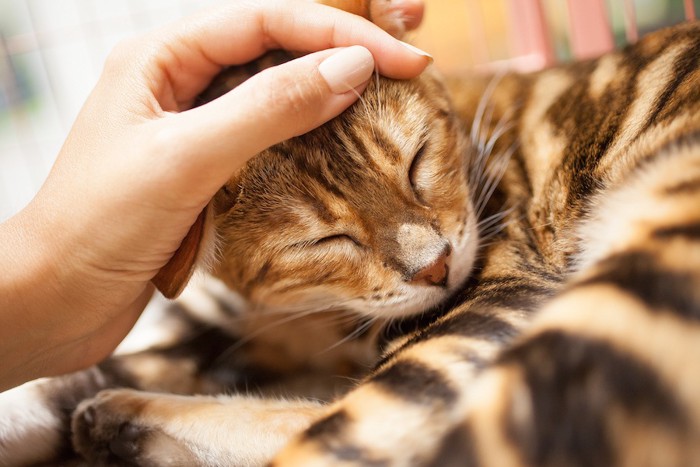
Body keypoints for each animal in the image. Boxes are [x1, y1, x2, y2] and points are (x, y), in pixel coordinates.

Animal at [1, 1, 700, 466]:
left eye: (418, 162)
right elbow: (83, 374)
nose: (436, 267)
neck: (322, 319)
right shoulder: (228, 328)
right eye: (323, 242)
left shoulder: (485, 305)